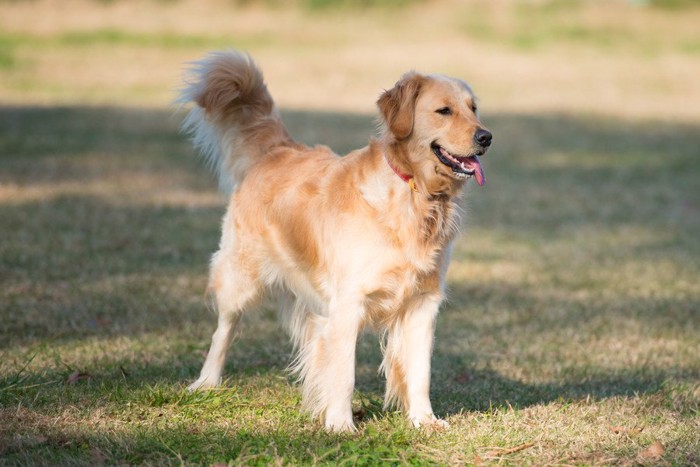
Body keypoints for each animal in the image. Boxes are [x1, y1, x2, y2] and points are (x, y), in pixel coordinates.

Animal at [179, 50, 492, 432]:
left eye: (473, 108)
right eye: (444, 111)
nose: (486, 137)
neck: (413, 193)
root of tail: (278, 149)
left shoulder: (423, 303)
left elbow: (420, 371)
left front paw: (424, 420)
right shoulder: (347, 303)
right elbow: (344, 373)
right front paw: (341, 425)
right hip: (240, 277)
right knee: (223, 329)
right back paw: (206, 382)